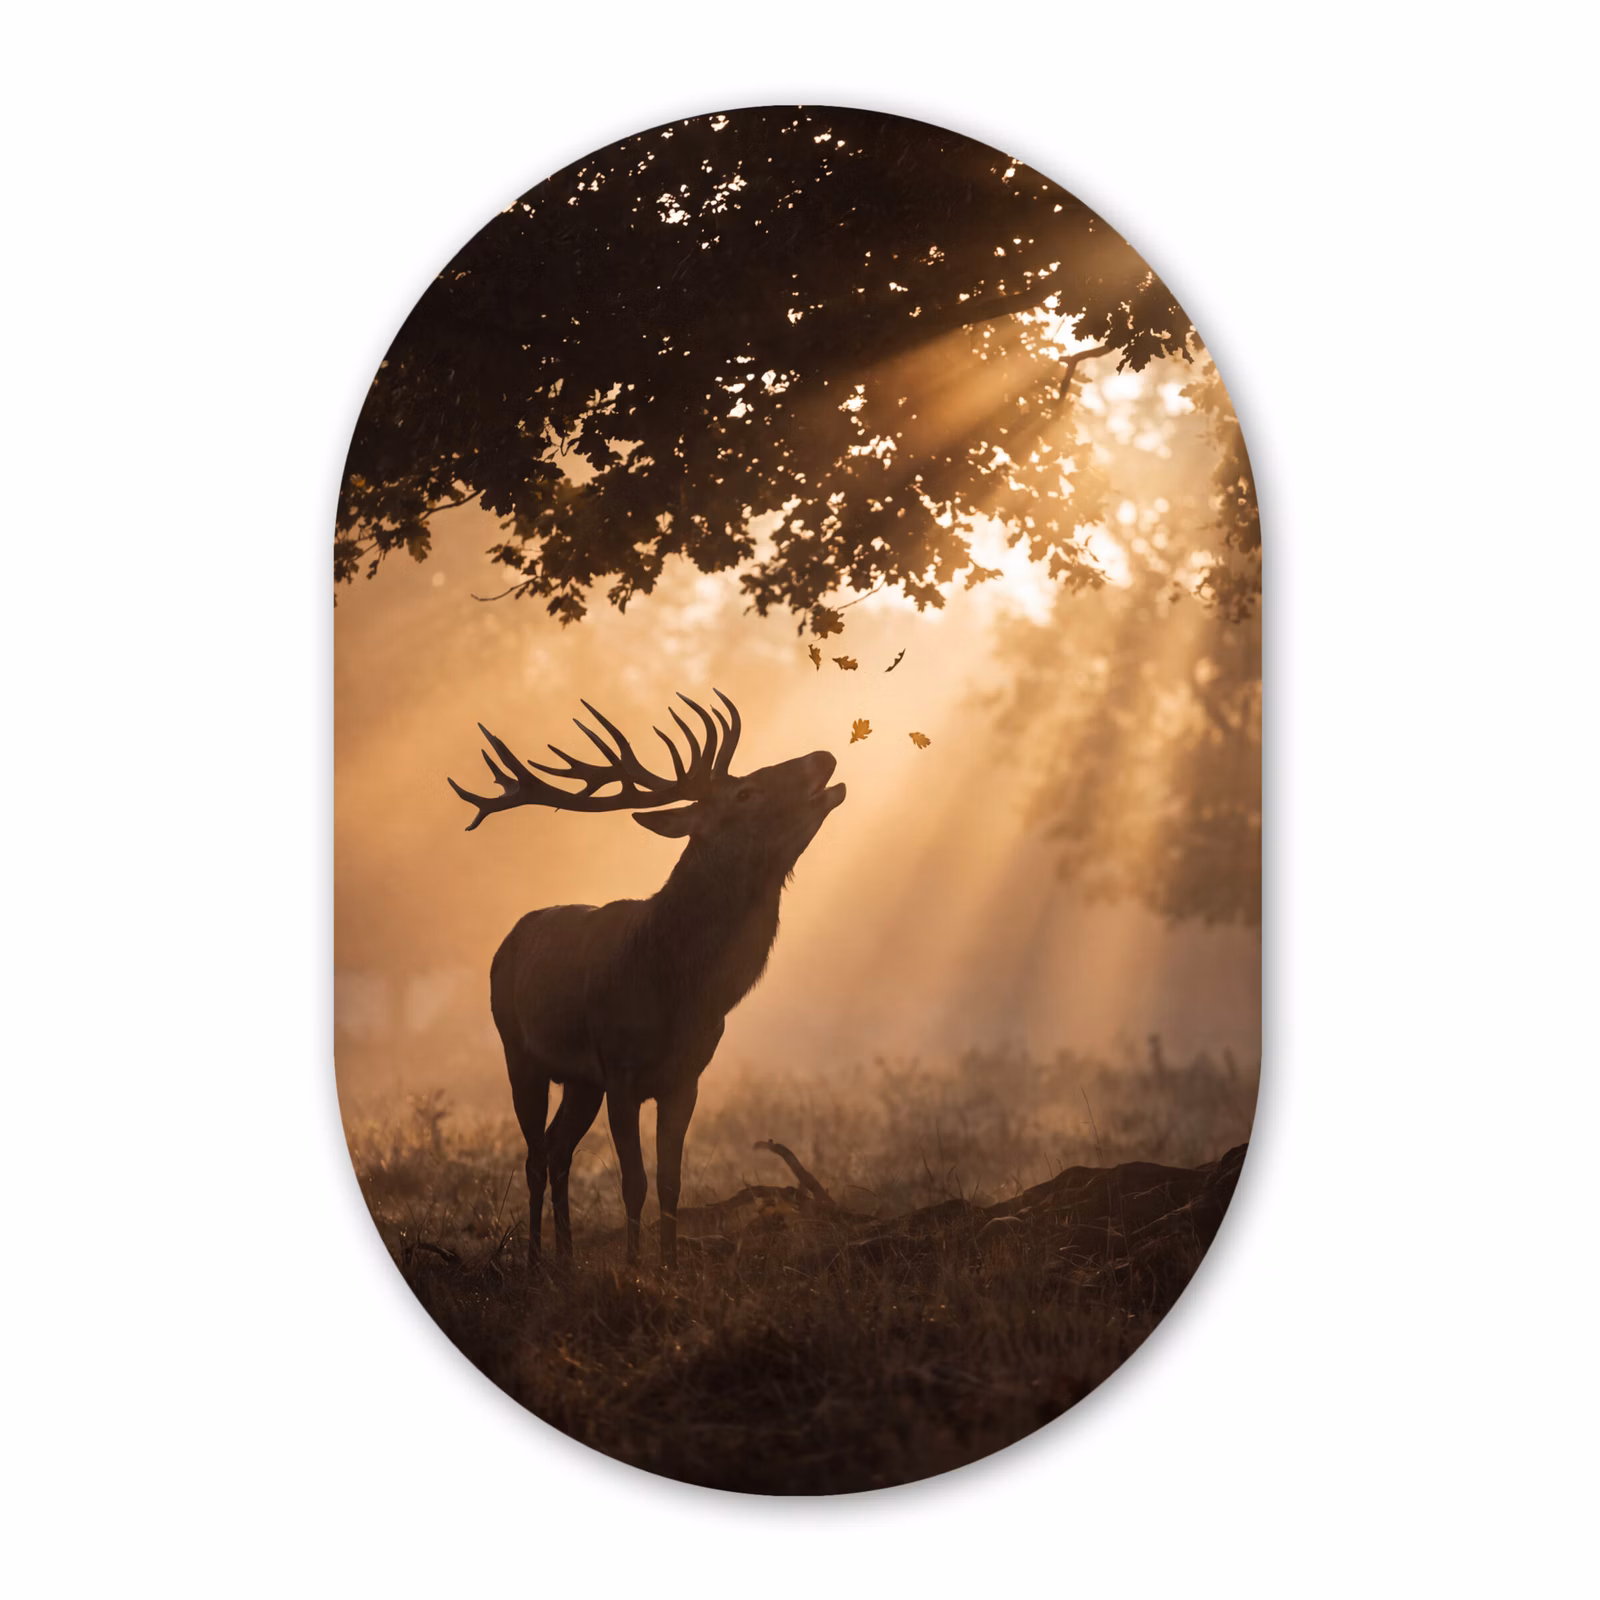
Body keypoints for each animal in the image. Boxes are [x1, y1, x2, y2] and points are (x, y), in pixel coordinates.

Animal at [448, 690, 846, 1272]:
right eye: (745, 791)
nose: (823, 757)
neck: (680, 990)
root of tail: (508, 941)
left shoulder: (685, 1077)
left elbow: (669, 1182)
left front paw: (670, 1265)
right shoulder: (621, 1072)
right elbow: (632, 1181)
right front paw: (636, 1268)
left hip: (581, 1081)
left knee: (559, 1149)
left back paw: (567, 1256)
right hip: (519, 1052)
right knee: (536, 1154)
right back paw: (536, 1258)